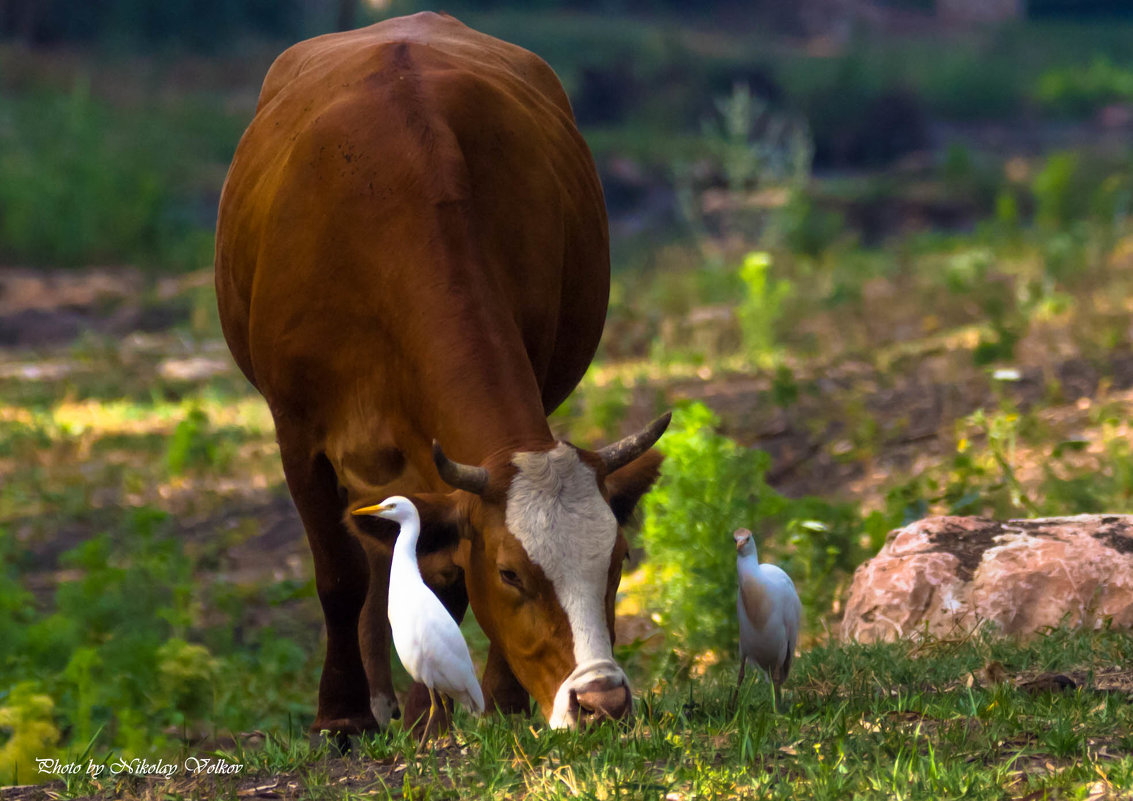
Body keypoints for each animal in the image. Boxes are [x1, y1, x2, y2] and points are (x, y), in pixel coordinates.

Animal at [214, 12, 661, 734]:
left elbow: (440, 574)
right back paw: (374, 701)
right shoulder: (297, 429)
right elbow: (338, 574)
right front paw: (342, 716)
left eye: (617, 561)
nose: (602, 701)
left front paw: (461, 710)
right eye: (509, 573)